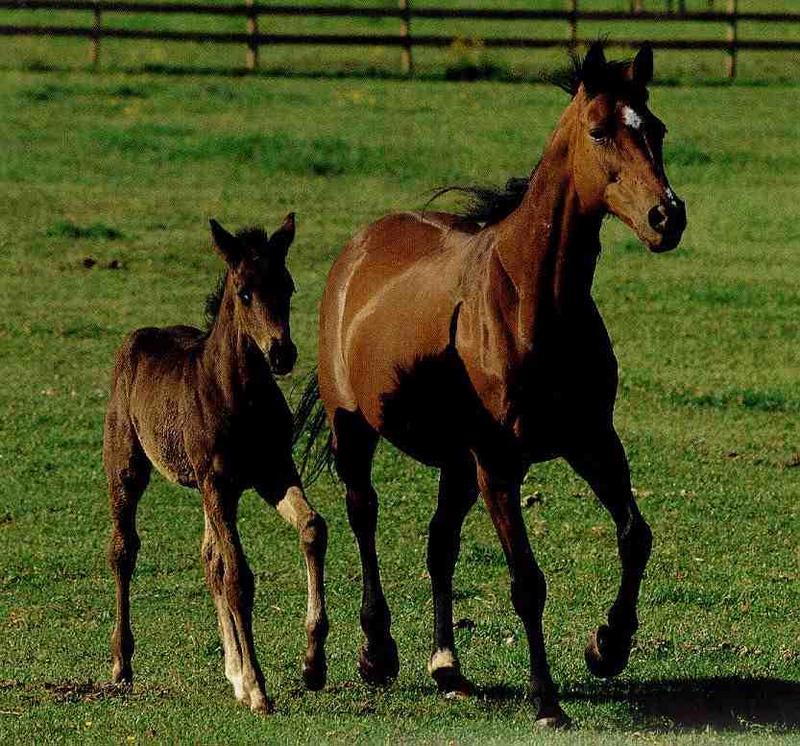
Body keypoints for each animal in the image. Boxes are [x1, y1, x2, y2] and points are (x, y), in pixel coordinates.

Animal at [103, 214, 328, 708]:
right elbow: (238, 576)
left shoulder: (271, 472)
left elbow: (312, 527)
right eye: (243, 291)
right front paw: (259, 688)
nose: (282, 353)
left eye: (288, 286)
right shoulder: (218, 483)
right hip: (128, 466)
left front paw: (312, 664)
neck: (239, 394)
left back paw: (235, 673)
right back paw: (121, 665)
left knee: (209, 557)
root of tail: (137, 337)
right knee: (124, 550)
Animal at [306, 43, 688, 724]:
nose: (666, 216)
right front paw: (546, 698)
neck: (534, 301)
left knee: (439, 544)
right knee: (363, 517)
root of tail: (359, 249)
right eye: (600, 131)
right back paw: (377, 652)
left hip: (457, 463)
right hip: (357, 433)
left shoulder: (591, 440)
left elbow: (635, 535)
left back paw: (447, 667)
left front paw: (606, 646)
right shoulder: (499, 465)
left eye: (657, 128)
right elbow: (527, 582)